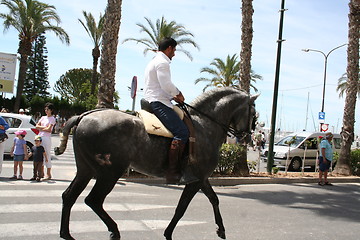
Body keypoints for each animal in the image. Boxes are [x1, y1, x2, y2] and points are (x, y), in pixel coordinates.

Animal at [57, 87, 258, 239]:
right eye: (254, 113)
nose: (248, 137)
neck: (204, 125)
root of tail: (84, 116)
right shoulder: (196, 180)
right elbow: (181, 208)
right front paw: (168, 233)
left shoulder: (201, 178)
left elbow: (214, 199)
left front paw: (221, 229)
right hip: (109, 174)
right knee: (93, 200)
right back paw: (114, 230)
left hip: (85, 170)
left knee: (69, 196)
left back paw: (67, 234)